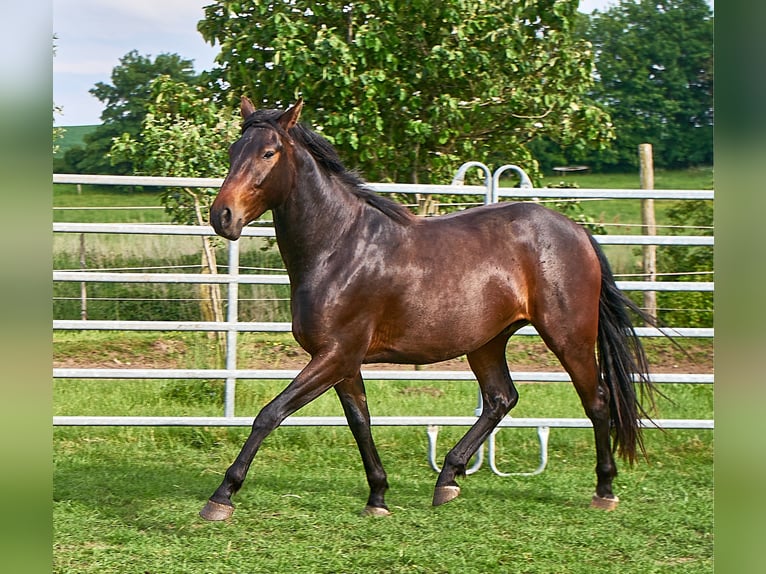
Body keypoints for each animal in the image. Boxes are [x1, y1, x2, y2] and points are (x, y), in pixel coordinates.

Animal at [200, 96, 658, 521]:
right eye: (233, 150)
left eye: (268, 152)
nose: (222, 216)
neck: (339, 247)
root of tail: (577, 232)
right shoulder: (343, 361)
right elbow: (360, 422)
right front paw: (378, 497)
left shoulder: (335, 355)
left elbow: (269, 414)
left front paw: (221, 496)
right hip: (487, 341)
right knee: (500, 399)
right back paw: (448, 479)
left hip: (569, 336)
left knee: (596, 400)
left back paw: (604, 490)